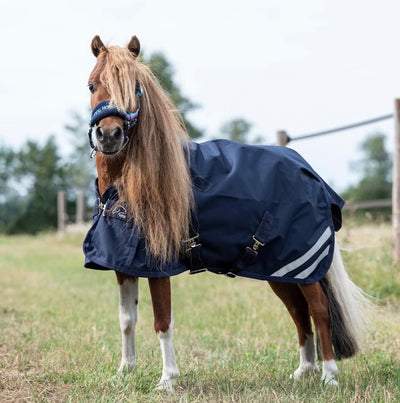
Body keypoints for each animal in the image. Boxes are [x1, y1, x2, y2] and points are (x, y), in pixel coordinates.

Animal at [83, 36, 372, 392]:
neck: (123, 189)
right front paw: (125, 370)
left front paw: (167, 380)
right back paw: (304, 370)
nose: (110, 135)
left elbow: (162, 321)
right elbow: (127, 319)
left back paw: (329, 376)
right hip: (280, 270)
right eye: (92, 85)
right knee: (298, 312)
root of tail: (311, 174)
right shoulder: (124, 264)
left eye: (135, 89)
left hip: (304, 266)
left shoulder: (157, 264)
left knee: (318, 310)